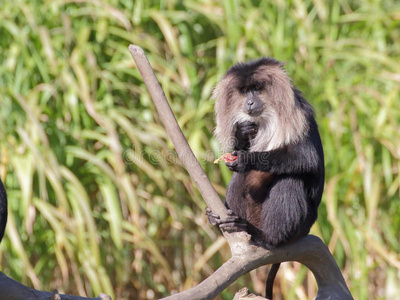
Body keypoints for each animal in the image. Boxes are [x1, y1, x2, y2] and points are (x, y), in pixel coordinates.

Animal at [208, 57, 324, 298]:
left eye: (257, 88)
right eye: (244, 91)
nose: (250, 103)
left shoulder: (300, 114)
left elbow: (307, 158)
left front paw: (246, 160)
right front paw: (242, 133)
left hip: (300, 226)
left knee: (290, 180)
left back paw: (267, 239)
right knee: (238, 180)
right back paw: (229, 222)